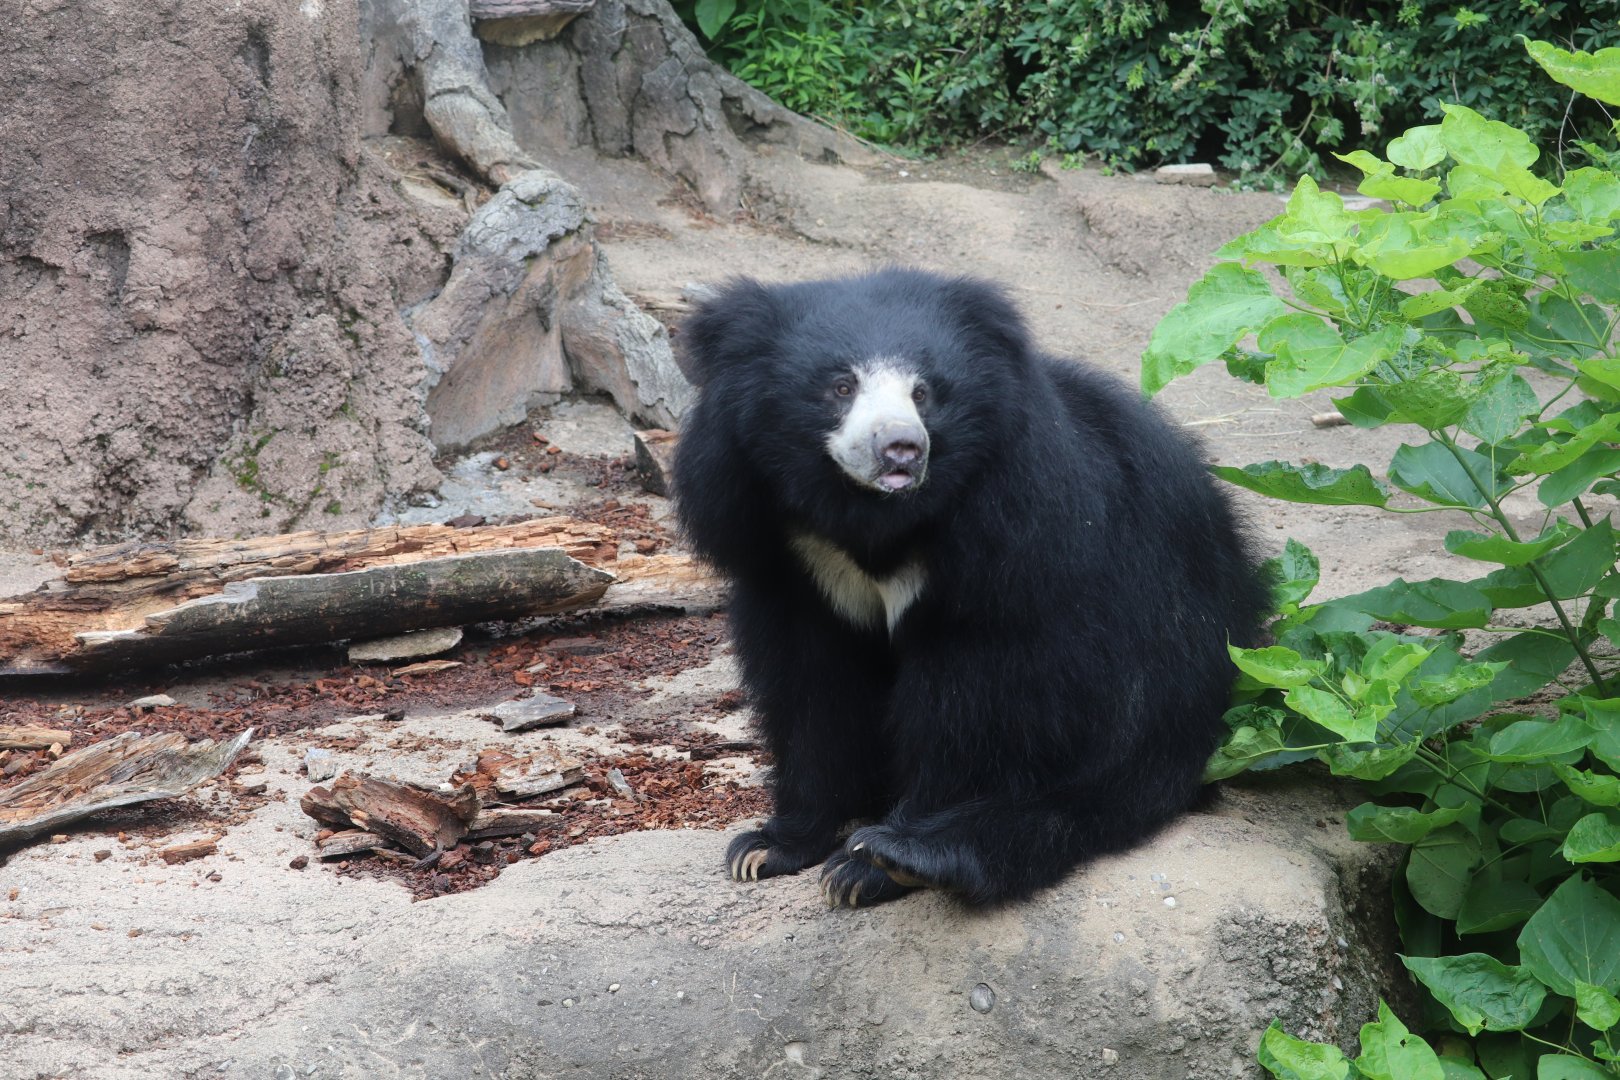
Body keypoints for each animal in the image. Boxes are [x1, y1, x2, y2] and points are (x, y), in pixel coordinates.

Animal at [673, 267, 1267, 908]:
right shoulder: (784, 554)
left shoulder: (1011, 536)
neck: (873, 521)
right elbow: (810, 690)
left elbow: (971, 705)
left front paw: (876, 862)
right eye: (840, 386)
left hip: (1160, 687)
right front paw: (767, 847)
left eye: (923, 392)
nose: (901, 447)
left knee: (1080, 799)